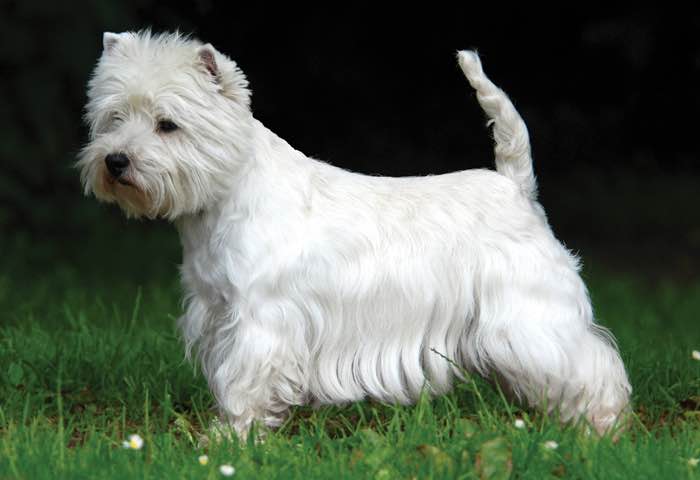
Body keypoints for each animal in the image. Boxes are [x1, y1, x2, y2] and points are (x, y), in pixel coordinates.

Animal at [79, 29, 632, 436]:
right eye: (114, 117)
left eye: (168, 124)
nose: (116, 161)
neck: (225, 195)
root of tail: (516, 187)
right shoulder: (219, 313)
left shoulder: (261, 322)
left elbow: (244, 381)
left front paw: (230, 438)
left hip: (528, 317)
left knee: (592, 365)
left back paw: (602, 428)